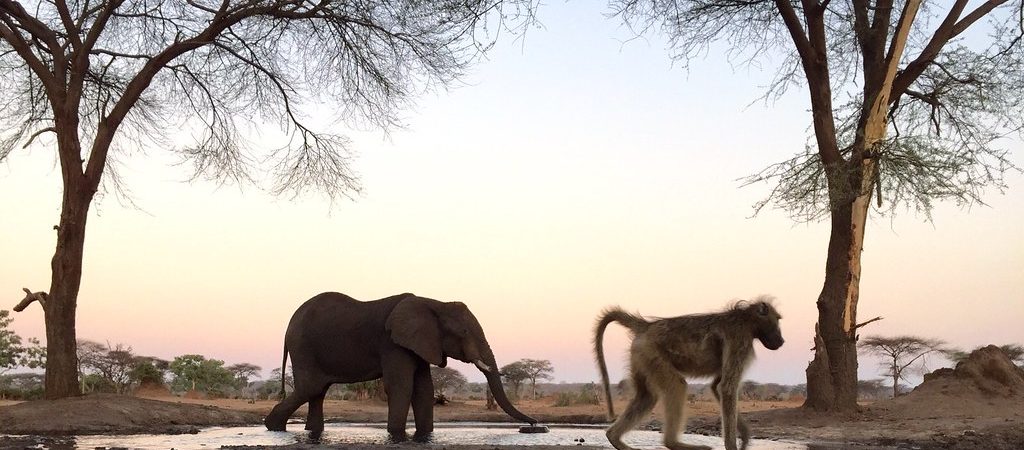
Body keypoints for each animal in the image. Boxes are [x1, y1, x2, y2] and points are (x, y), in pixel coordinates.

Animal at [264, 292, 537, 439]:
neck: (433, 302)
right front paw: (396, 434)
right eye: (464, 332)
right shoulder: (393, 343)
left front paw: (425, 435)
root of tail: (288, 324)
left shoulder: (421, 344)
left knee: (318, 391)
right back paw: (273, 427)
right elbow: (402, 387)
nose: (534, 425)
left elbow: (424, 390)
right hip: (303, 346)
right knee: (310, 388)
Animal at [594, 296, 784, 450]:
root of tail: (647, 326)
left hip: (641, 355)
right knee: (676, 387)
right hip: (651, 353)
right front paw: (732, 445)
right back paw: (675, 443)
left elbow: (717, 386)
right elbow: (727, 387)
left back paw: (615, 438)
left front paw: (744, 436)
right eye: (777, 320)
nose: (781, 341)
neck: (747, 319)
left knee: (646, 397)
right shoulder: (740, 340)